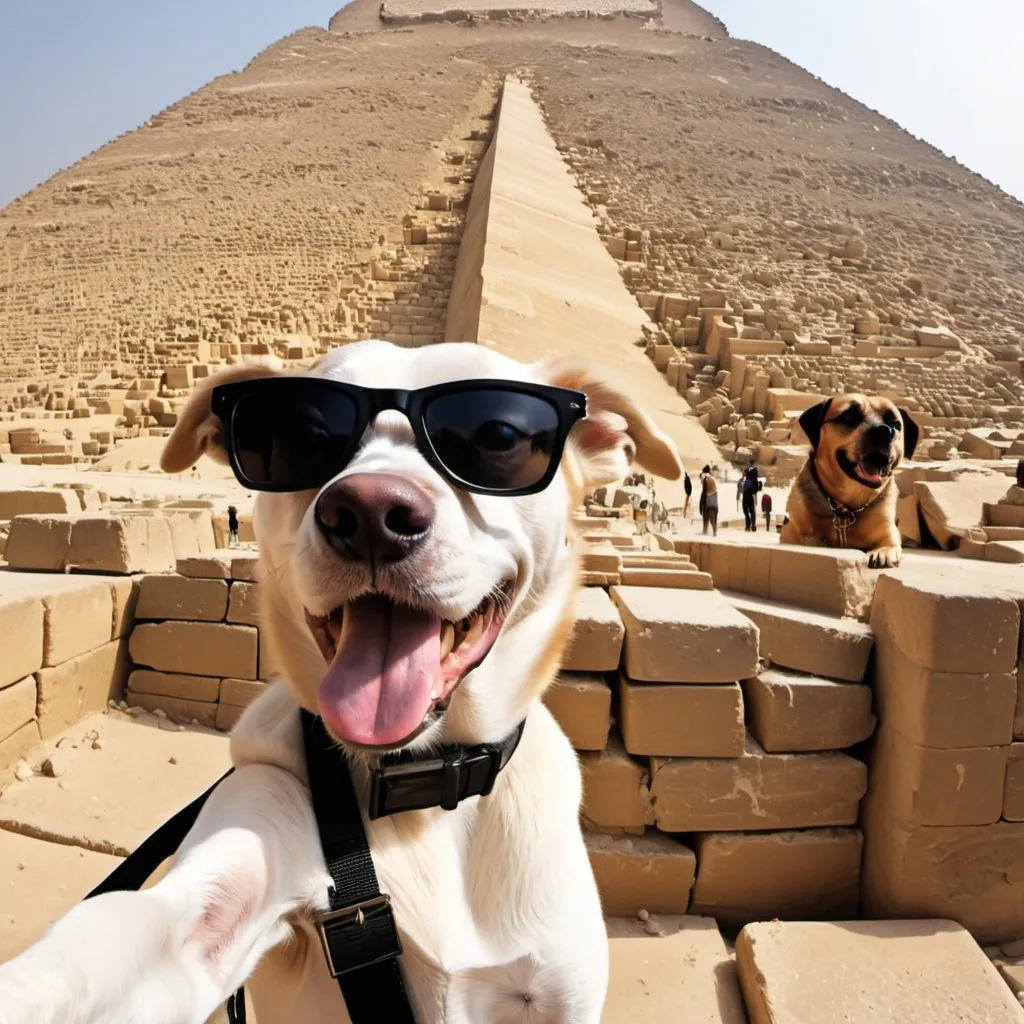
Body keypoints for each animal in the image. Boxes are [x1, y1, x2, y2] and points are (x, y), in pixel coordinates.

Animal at [778, 391, 917, 569]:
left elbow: (889, 544)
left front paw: (883, 553)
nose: (884, 431)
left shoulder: (886, 528)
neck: (846, 511)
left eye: (894, 423)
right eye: (849, 416)